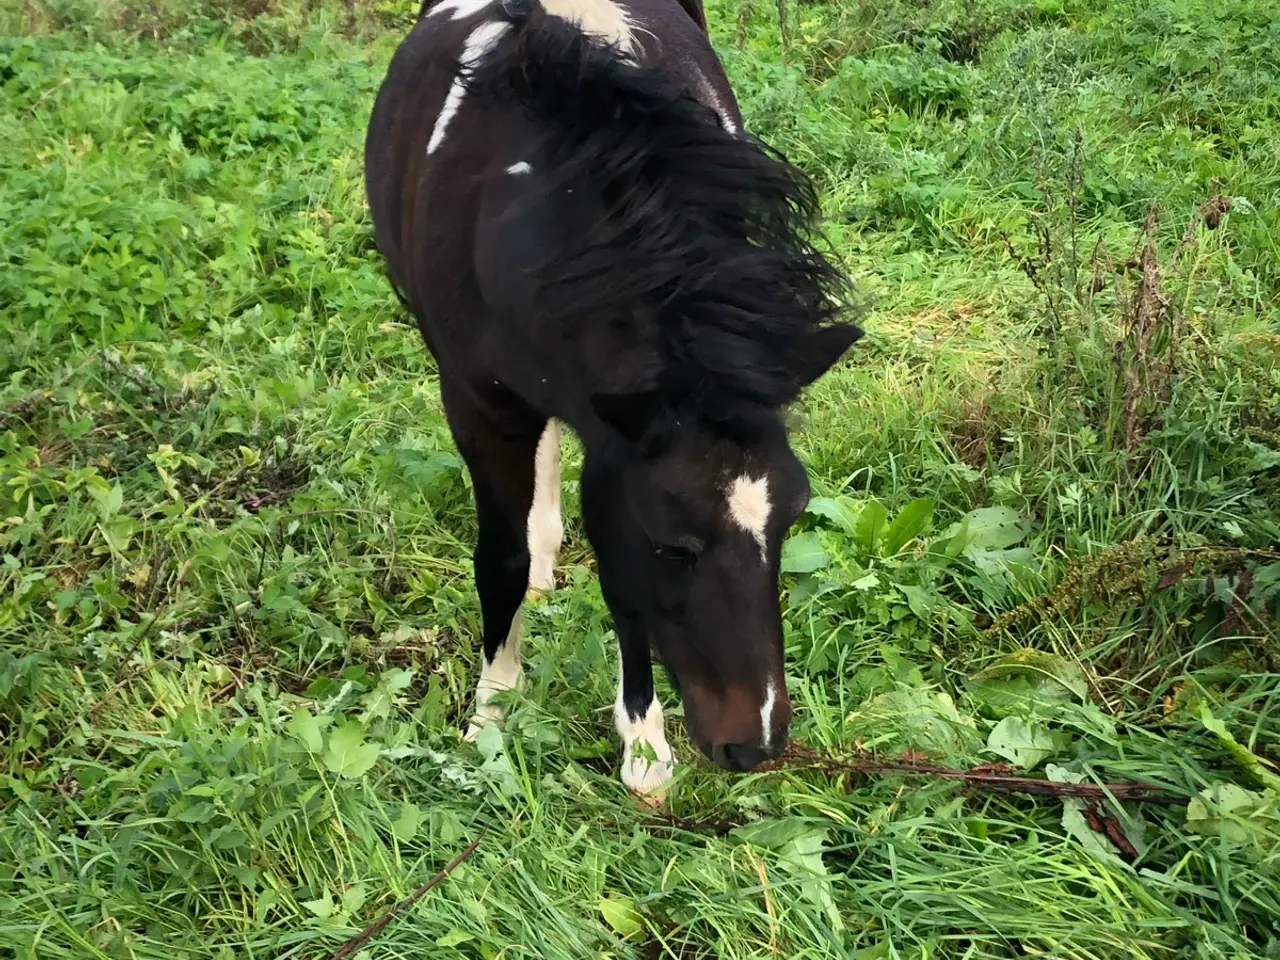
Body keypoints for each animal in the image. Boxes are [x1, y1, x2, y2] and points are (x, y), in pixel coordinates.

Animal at [364, 0, 861, 798]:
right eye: (674, 545)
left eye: (788, 524)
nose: (755, 745)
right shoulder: (480, 404)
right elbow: (502, 559)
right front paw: (490, 714)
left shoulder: (612, 439)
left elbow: (620, 580)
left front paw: (644, 747)